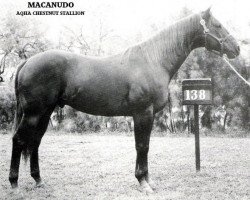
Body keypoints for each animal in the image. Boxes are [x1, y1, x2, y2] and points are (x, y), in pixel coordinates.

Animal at [8, 8, 239, 194]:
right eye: (218, 25)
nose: (236, 48)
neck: (153, 60)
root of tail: (28, 61)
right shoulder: (143, 112)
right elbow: (142, 146)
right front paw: (143, 183)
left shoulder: (147, 114)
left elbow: (145, 146)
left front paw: (148, 181)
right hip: (33, 113)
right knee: (19, 140)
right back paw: (14, 183)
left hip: (45, 113)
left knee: (35, 142)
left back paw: (38, 180)